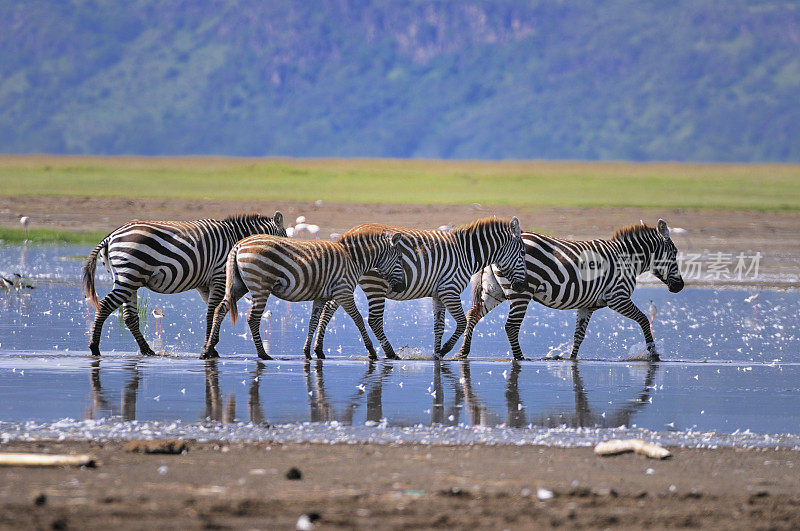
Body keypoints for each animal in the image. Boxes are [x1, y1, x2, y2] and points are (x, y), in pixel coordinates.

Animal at [81, 213, 286, 358]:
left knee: (130, 316)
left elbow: (213, 312)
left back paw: (147, 350)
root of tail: (111, 236)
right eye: (284, 240)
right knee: (105, 305)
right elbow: (211, 313)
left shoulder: (206, 285)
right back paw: (94, 347)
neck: (235, 238)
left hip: (128, 279)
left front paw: (211, 347)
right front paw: (210, 349)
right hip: (130, 275)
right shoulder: (219, 276)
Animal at [200, 227, 406, 360]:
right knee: (253, 318)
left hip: (238, 285)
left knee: (220, 309)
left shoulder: (321, 296)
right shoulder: (344, 291)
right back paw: (263, 354)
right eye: (400, 258)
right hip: (260, 285)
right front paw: (372, 352)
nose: (402, 287)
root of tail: (239, 245)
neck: (353, 259)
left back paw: (207, 350)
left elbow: (313, 321)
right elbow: (358, 319)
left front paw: (308, 352)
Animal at [310, 217, 528, 362]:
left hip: (345, 279)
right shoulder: (450, 289)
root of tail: (346, 235)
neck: (466, 253)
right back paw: (390, 354)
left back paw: (318, 350)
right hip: (375, 284)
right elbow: (461, 322)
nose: (522, 286)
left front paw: (436, 353)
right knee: (374, 320)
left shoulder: (439, 294)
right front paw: (445, 350)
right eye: (523, 253)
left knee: (328, 310)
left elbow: (439, 325)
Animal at [454, 219, 684, 362]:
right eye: (674, 253)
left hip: (495, 291)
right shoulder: (618, 297)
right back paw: (520, 358)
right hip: (521, 293)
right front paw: (653, 354)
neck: (628, 260)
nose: (680, 286)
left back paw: (463, 352)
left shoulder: (587, 306)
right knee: (510, 326)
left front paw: (572, 360)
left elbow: (579, 336)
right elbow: (644, 319)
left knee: (473, 314)